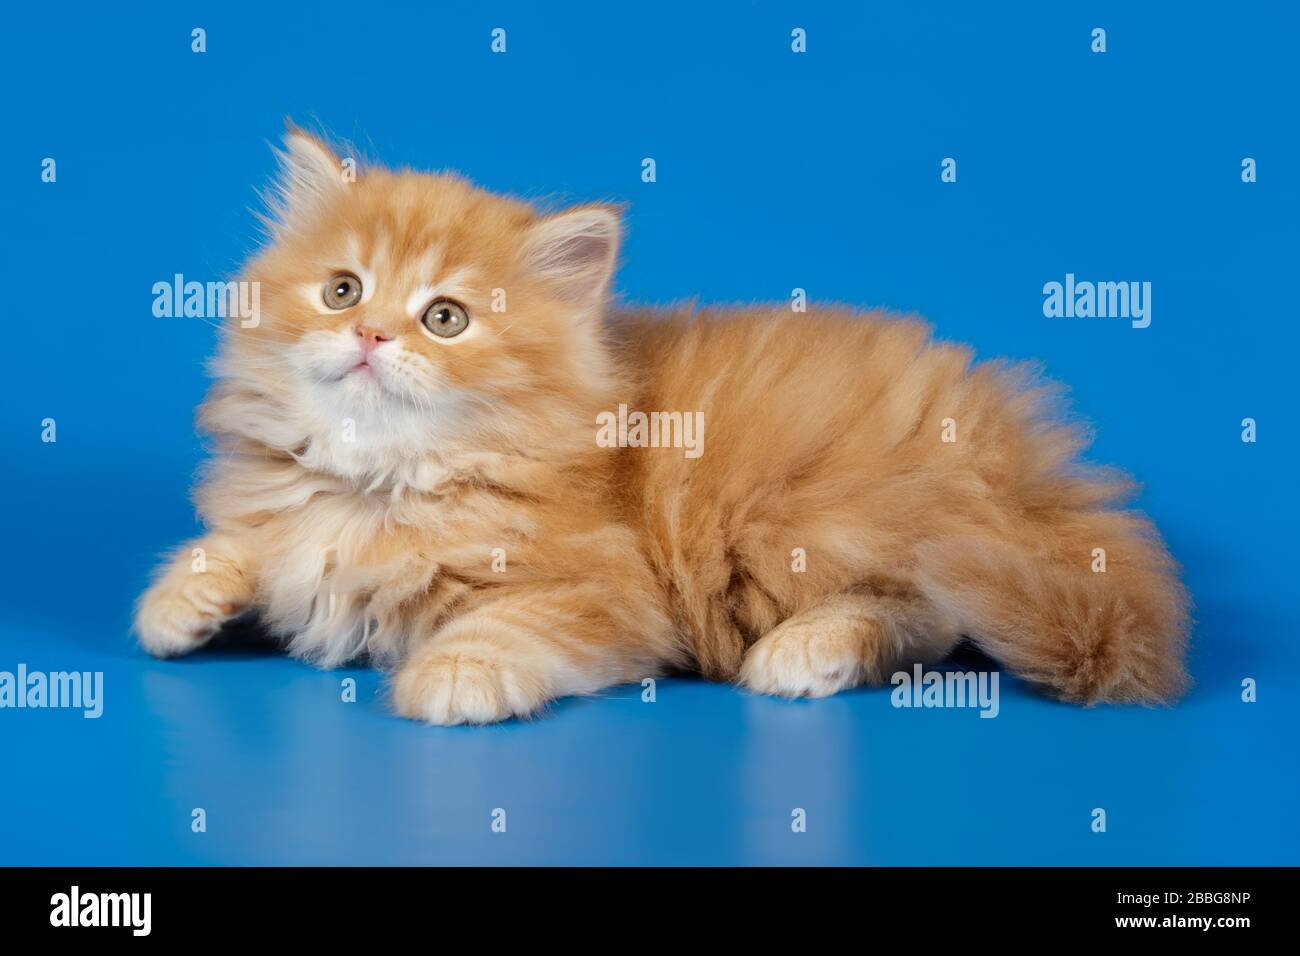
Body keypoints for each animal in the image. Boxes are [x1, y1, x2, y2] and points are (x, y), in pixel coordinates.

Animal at [131, 128, 1190, 723]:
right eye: (343, 288)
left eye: (447, 318)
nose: (370, 332)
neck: (381, 480)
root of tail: (1000, 437)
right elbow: (239, 543)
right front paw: (181, 601)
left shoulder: (609, 587)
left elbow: (515, 623)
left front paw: (452, 674)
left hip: (800, 521)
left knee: (927, 615)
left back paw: (803, 653)